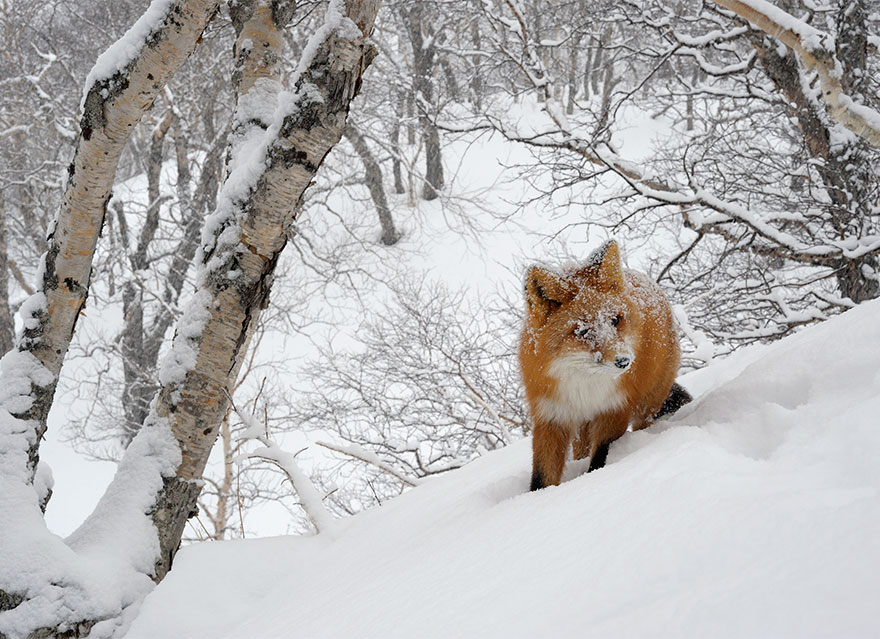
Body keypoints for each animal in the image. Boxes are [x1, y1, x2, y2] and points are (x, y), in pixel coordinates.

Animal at [520, 240, 692, 491]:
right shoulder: (551, 415)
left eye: (615, 320)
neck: (585, 385)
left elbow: (601, 458)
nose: (624, 361)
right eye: (582, 331)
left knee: (642, 424)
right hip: (582, 426)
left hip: (647, 404)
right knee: (581, 449)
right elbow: (542, 476)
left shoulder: (615, 408)